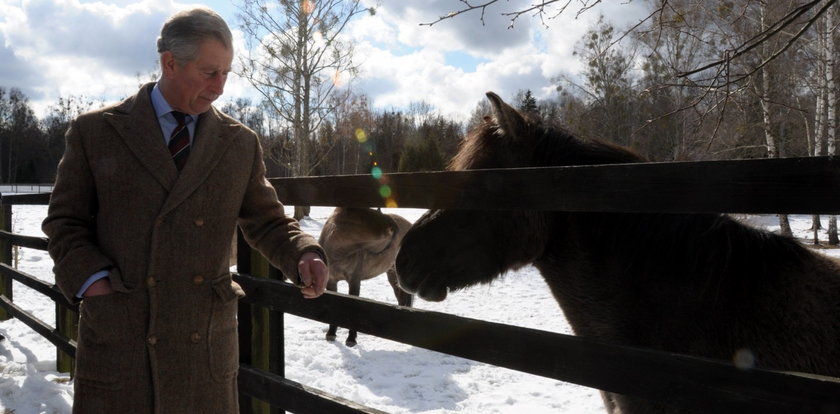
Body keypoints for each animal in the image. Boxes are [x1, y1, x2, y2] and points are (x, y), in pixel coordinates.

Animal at [318, 207, 414, 346]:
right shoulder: (331, 281)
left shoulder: (354, 280)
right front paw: (331, 333)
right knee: (400, 295)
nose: (393, 226)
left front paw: (351, 339)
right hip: (392, 273)